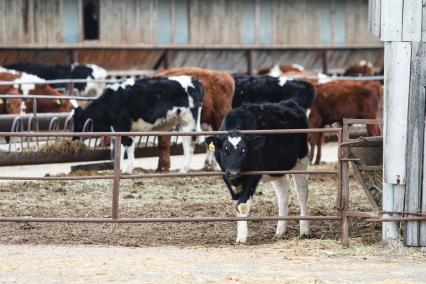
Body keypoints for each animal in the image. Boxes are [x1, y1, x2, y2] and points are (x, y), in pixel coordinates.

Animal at [72, 76, 205, 173]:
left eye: (76, 122)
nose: (73, 138)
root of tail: (194, 80)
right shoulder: (128, 130)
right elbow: (127, 148)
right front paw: (126, 169)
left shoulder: (121, 127)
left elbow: (122, 148)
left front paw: (122, 170)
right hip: (183, 123)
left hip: (188, 121)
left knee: (189, 143)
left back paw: (183, 169)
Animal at [206, 100, 310, 242]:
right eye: (225, 151)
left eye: (244, 151)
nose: (233, 172)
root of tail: (290, 103)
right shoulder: (225, 175)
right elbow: (236, 204)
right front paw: (240, 232)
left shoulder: (253, 174)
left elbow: (242, 205)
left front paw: (242, 238)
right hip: (276, 169)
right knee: (283, 195)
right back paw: (280, 230)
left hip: (301, 161)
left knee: (302, 193)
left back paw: (304, 229)